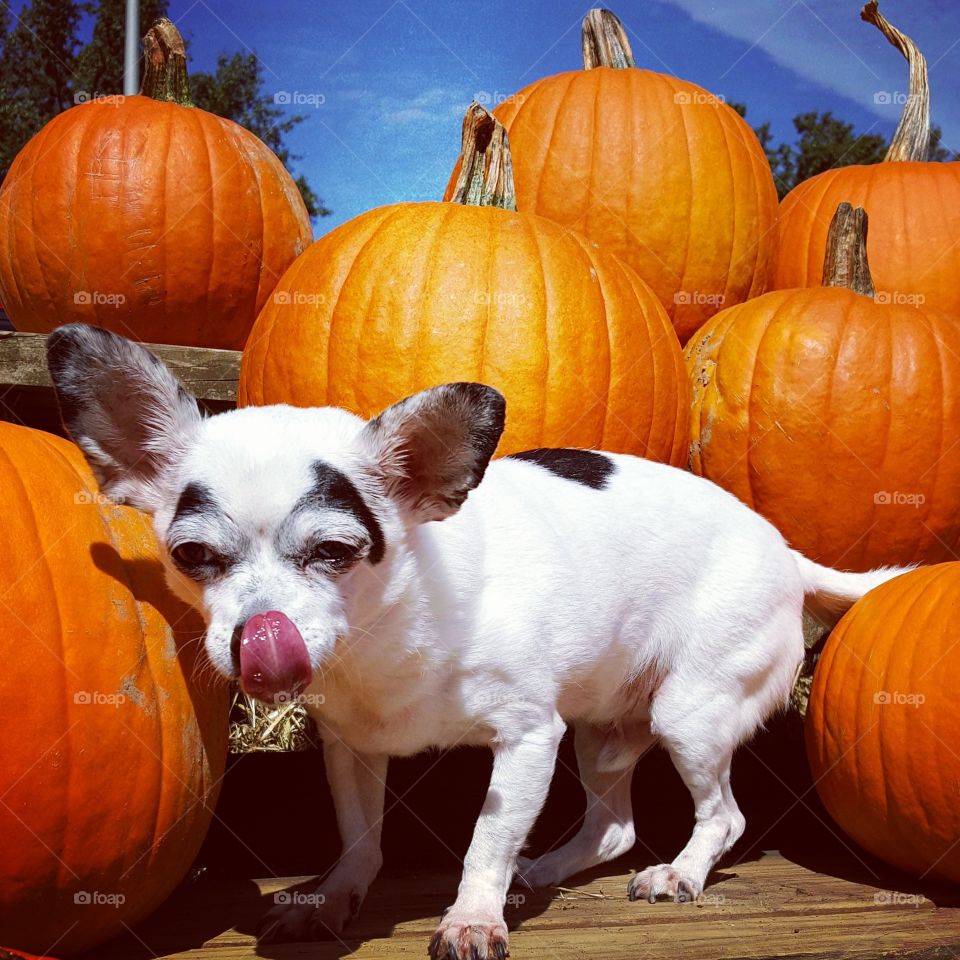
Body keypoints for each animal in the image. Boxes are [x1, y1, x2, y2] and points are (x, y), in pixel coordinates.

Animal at [48, 326, 904, 956]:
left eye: (334, 551)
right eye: (193, 555)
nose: (261, 637)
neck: (383, 638)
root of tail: (786, 551)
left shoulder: (527, 739)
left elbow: (484, 839)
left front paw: (470, 915)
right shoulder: (352, 750)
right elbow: (361, 839)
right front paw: (330, 898)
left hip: (688, 713)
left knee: (722, 816)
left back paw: (680, 873)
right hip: (602, 732)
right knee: (613, 824)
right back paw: (548, 865)